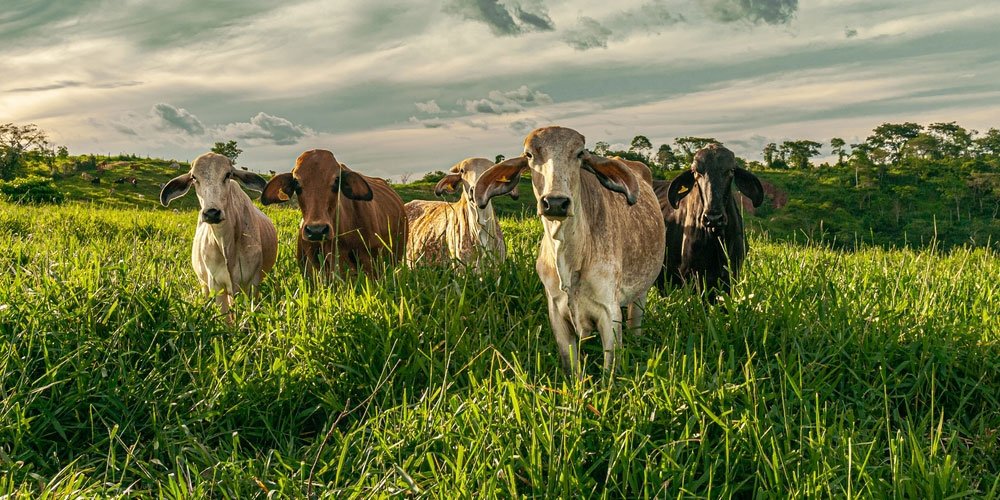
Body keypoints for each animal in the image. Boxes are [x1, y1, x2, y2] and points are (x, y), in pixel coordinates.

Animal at [159, 150, 278, 318]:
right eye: (194, 178)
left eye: (228, 174)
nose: (211, 212)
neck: (227, 246)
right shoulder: (216, 286)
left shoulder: (251, 284)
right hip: (204, 284)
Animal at [474, 127, 664, 376]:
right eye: (529, 155)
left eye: (580, 153)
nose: (555, 202)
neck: (569, 260)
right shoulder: (557, 312)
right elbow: (571, 367)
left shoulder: (610, 312)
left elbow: (609, 372)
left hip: (641, 294)